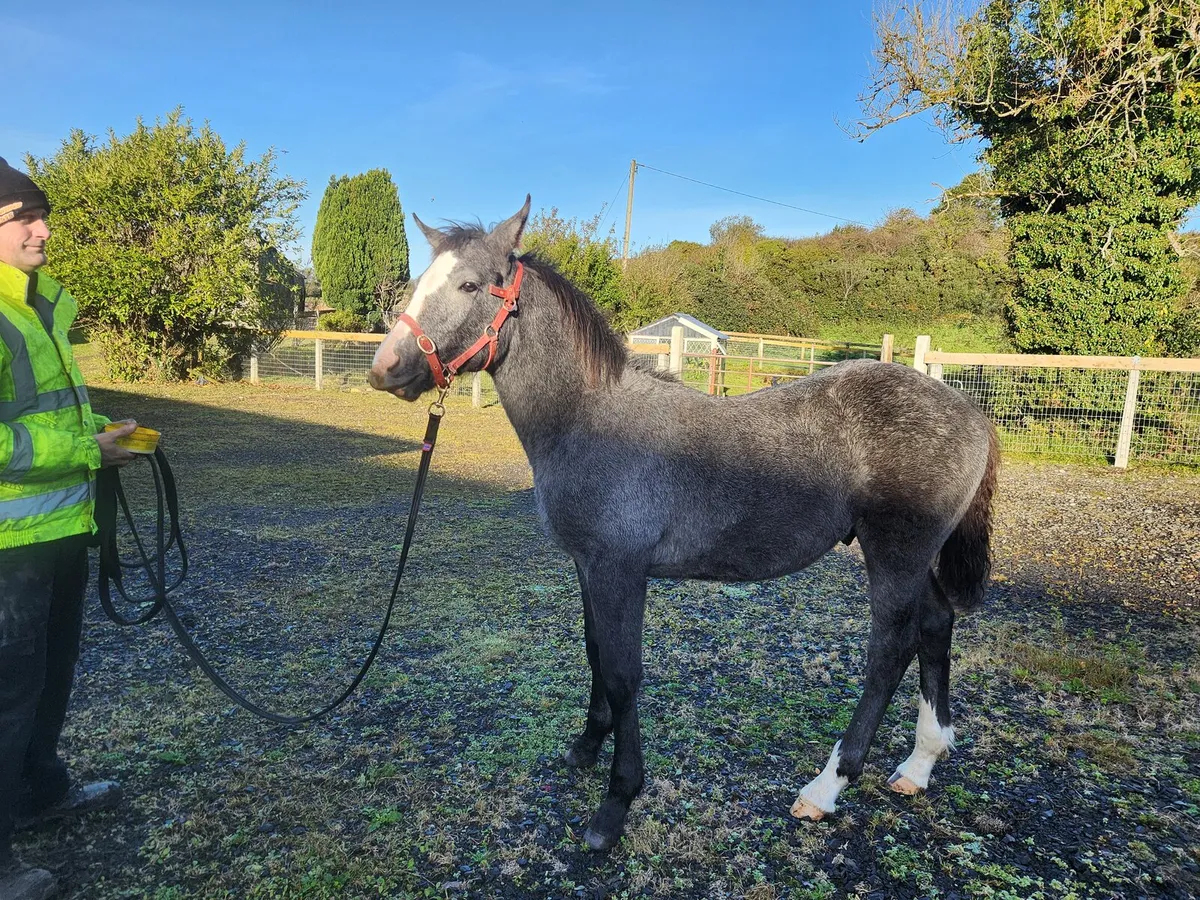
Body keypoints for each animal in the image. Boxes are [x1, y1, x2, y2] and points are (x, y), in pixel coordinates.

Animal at [367, 197, 1000, 852]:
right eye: (419, 282)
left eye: (470, 285)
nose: (384, 367)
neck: (591, 418)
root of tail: (971, 412)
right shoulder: (589, 565)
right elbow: (596, 653)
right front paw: (586, 746)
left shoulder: (620, 568)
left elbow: (623, 673)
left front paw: (615, 805)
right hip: (913, 558)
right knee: (936, 624)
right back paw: (920, 764)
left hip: (893, 554)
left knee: (890, 651)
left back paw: (826, 788)